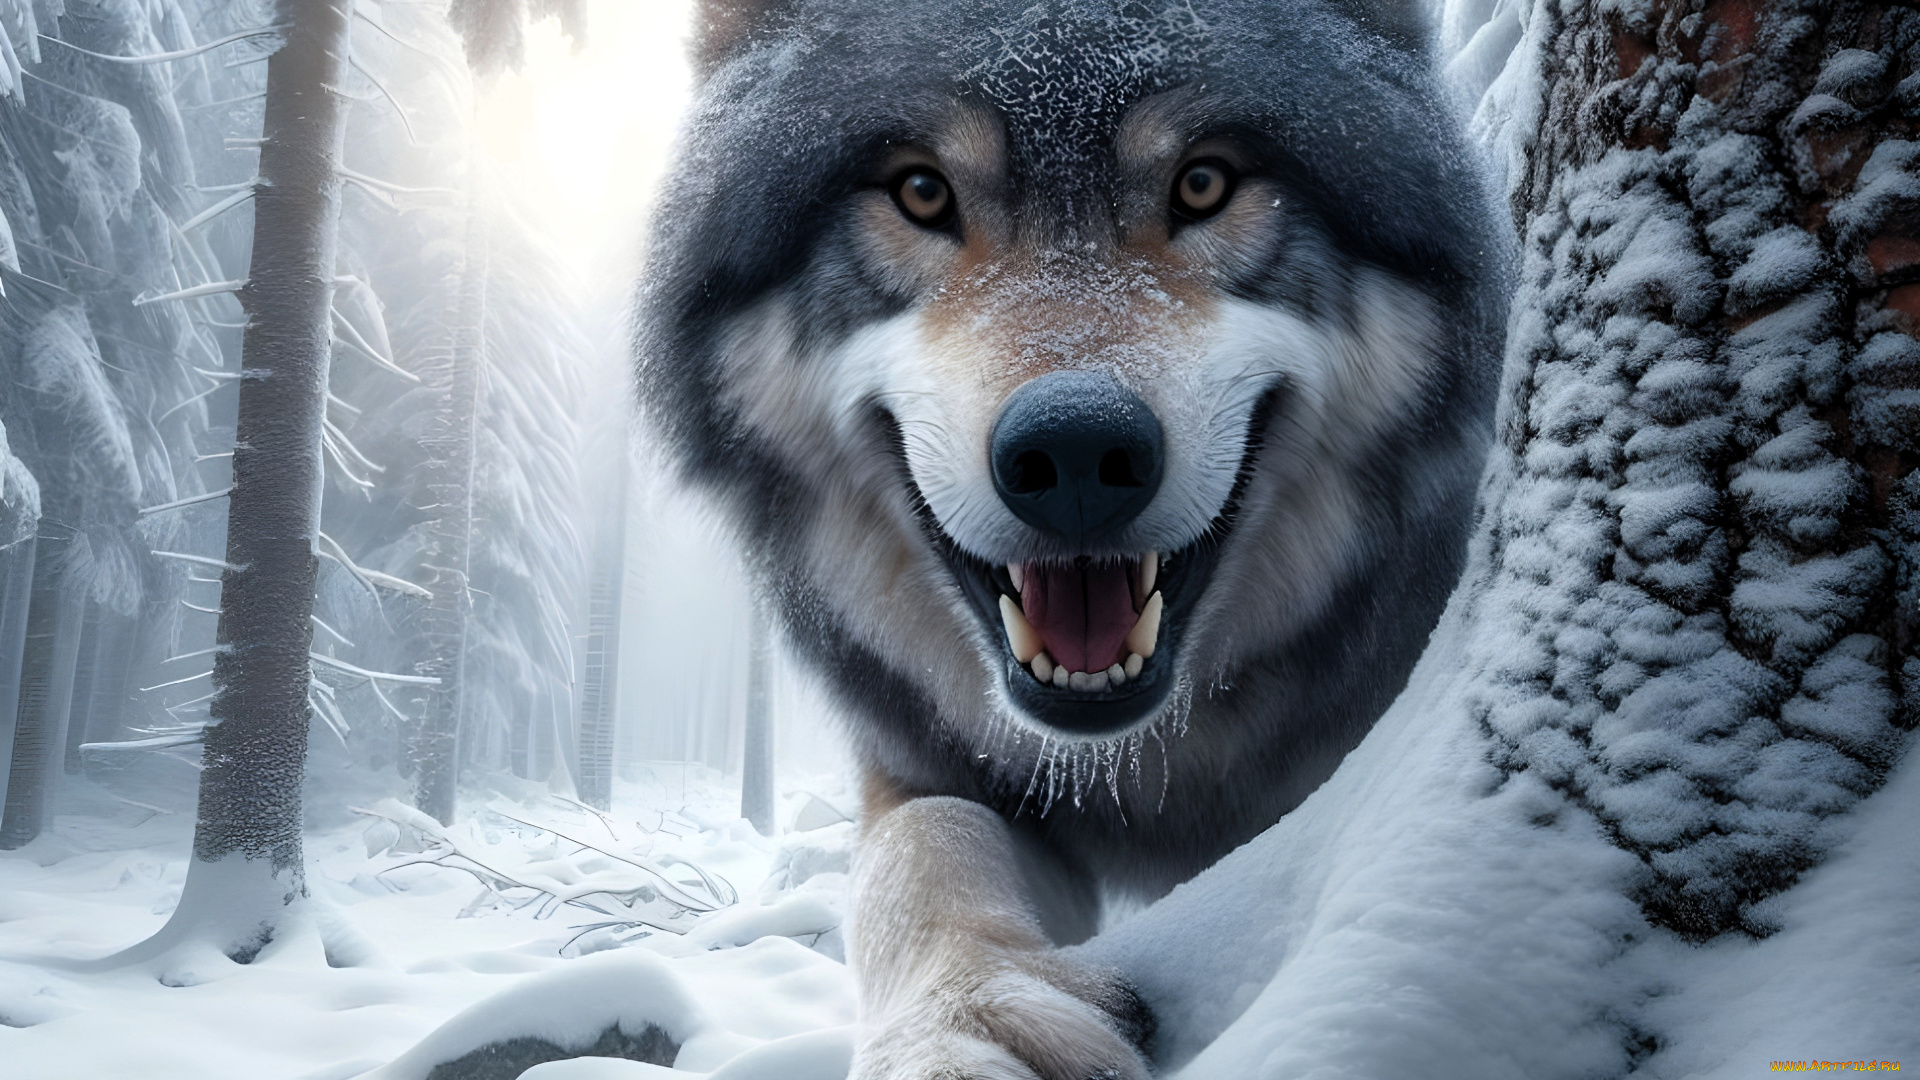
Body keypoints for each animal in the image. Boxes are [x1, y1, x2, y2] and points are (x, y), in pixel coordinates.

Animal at [636, 0, 1507, 1075]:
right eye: (921, 191)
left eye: (1204, 183)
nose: (1078, 451)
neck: (1148, 769)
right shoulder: (927, 767)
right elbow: (922, 846)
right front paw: (961, 1020)